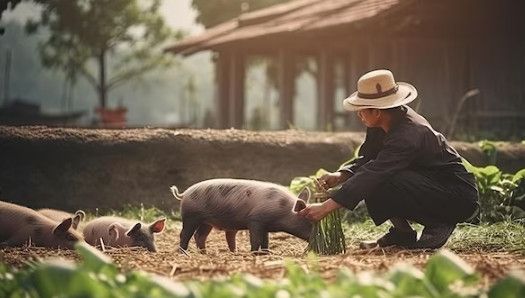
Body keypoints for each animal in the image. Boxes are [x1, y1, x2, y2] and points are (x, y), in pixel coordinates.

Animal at [171, 179, 312, 254]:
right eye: (308, 220)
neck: (283, 210)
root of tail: (184, 194)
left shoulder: (265, 226)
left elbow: (266, 241)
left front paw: (267, 253)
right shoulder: (255, 220)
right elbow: (256, 239)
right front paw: (254, 253)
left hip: (206, 222)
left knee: (200, 236)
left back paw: (205, 253)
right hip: (190, 217)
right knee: (184, 234)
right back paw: (184, 253)